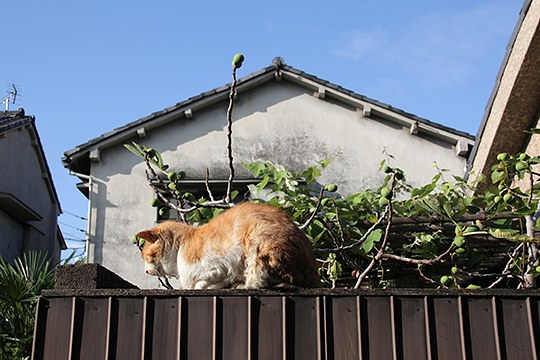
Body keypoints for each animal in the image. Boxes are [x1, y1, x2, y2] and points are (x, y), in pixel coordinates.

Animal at [135, 202, 320, 290]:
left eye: (147, 257)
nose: (145, 271)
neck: (183, 244)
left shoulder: (221, 265)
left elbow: (202, 281)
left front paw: (202, 286)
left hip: (259, 243)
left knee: (257, 282)